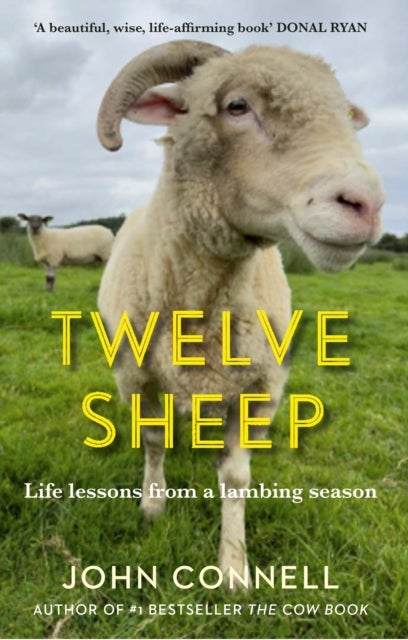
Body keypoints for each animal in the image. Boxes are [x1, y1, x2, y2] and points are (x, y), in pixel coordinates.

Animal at [96, 40, 384, 587]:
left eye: (343, 114)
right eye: (236, 106)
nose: (366, 204)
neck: (207, 302)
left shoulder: (260, 387)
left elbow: (235, 476)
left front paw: (233, 569)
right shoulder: (138, 376)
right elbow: (153, 441)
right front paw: (153, 507)